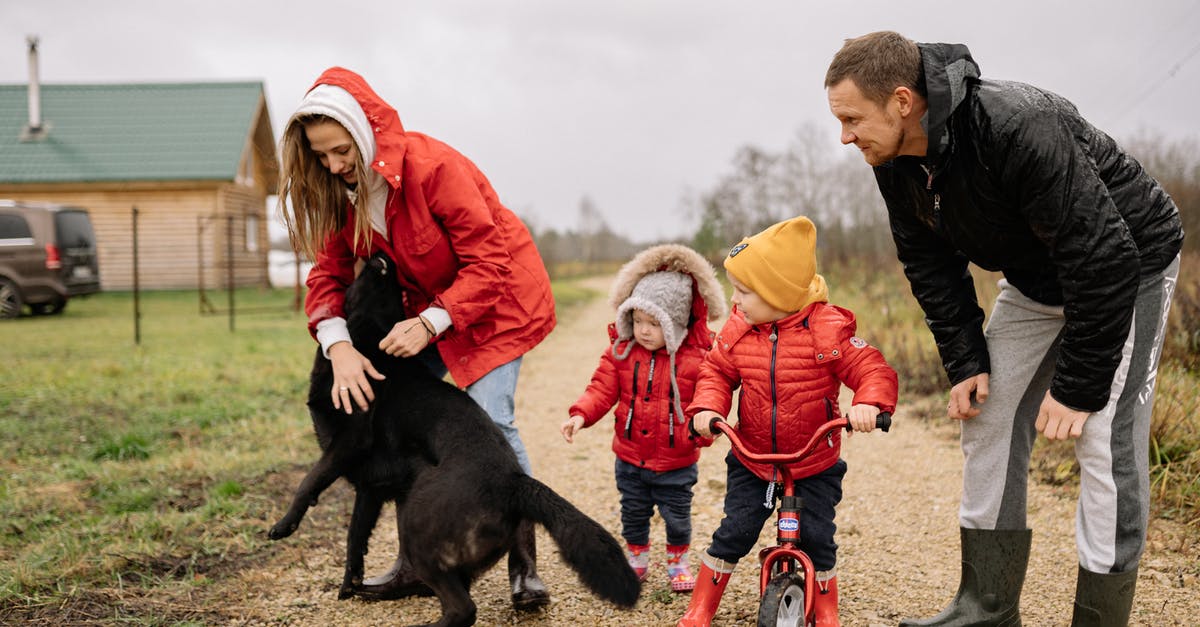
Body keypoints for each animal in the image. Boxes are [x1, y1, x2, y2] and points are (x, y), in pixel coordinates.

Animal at [267, 251, 643, 619]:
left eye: (383, 280)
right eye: (395, 293)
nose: (382, 254)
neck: (370, 345)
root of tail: (513, 481)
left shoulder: (348, 442)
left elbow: (310, 481)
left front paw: (284, 525)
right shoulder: (370, 489)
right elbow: (354, 537)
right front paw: (350, 583)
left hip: (418, 523)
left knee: (463, 608)